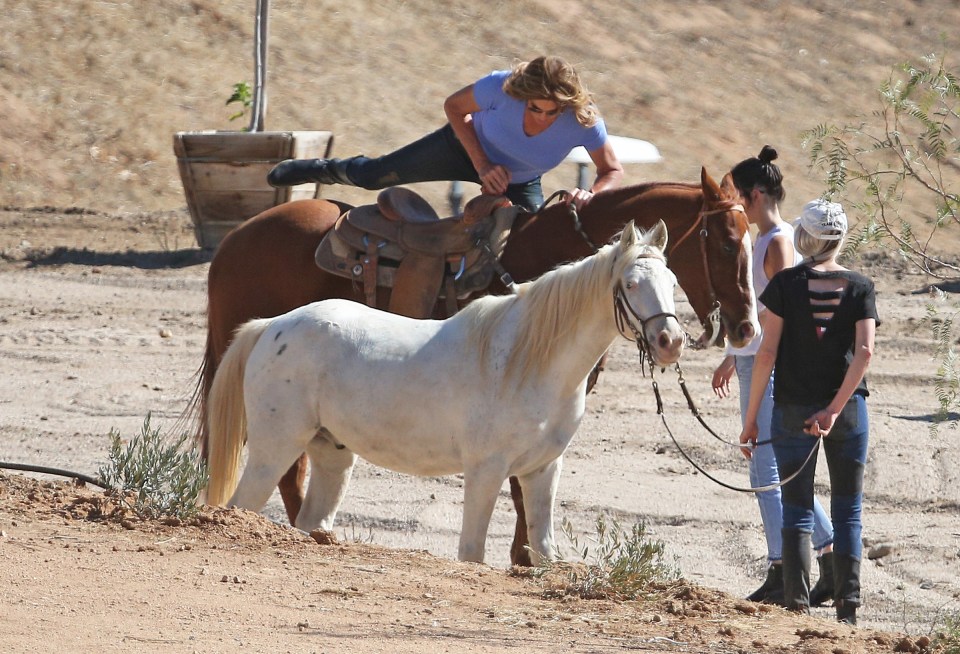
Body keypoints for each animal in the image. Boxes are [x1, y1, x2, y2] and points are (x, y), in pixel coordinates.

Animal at [189, 167, 756, 568]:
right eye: (631, 284)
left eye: (671, 280)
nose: (670, 341)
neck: (531, 361)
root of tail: (272, 327)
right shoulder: (485, 472)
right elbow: (472, 554)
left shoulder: (543, 470)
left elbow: (541, 546)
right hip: (274, 447)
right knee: (248, 499)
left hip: (332, 454)